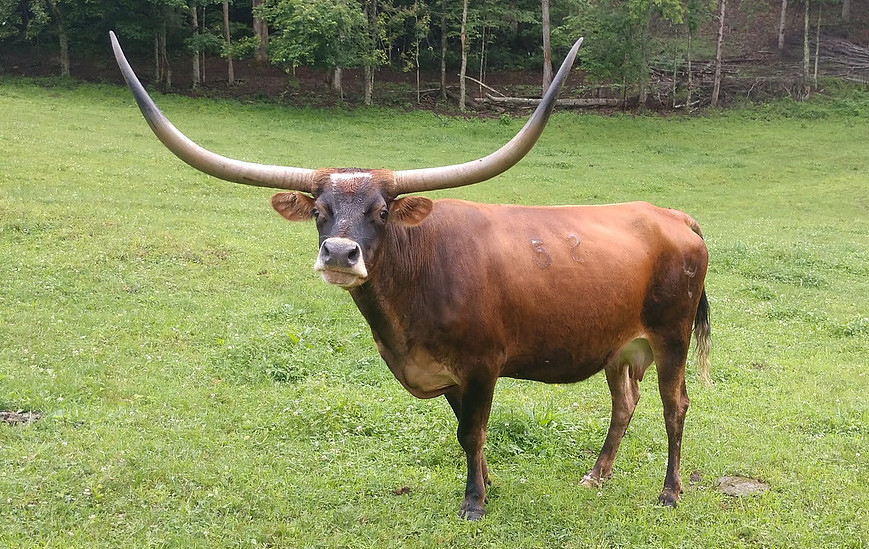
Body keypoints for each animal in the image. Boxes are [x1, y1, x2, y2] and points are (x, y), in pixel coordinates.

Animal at [108, 32, 708, 520]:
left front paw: (474, 503)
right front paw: (488, 485)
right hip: (619, 347)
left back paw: (670, 492)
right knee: (624, 403)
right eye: (320, 209)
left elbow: (473, 430)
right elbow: (468, 435)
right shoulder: (447, 373)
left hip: (671, 337)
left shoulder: (483, 363)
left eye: (380, 211)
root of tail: (672, 216)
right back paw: (595, 477)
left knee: (674, 407)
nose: (339, 254)